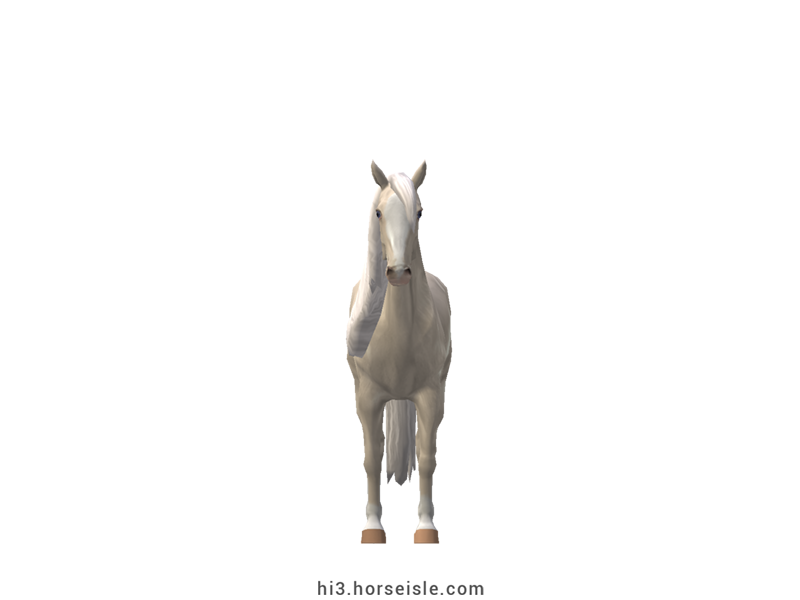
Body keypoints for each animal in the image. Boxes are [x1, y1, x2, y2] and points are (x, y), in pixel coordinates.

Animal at [347, 159, 451, 536]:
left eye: (419, 212)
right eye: (378, 212)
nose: (399, 273)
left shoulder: (431, 396)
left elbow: (427, 460)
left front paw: (426, 529)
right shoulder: (368, 398)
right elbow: (370, 462)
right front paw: (373, 529)